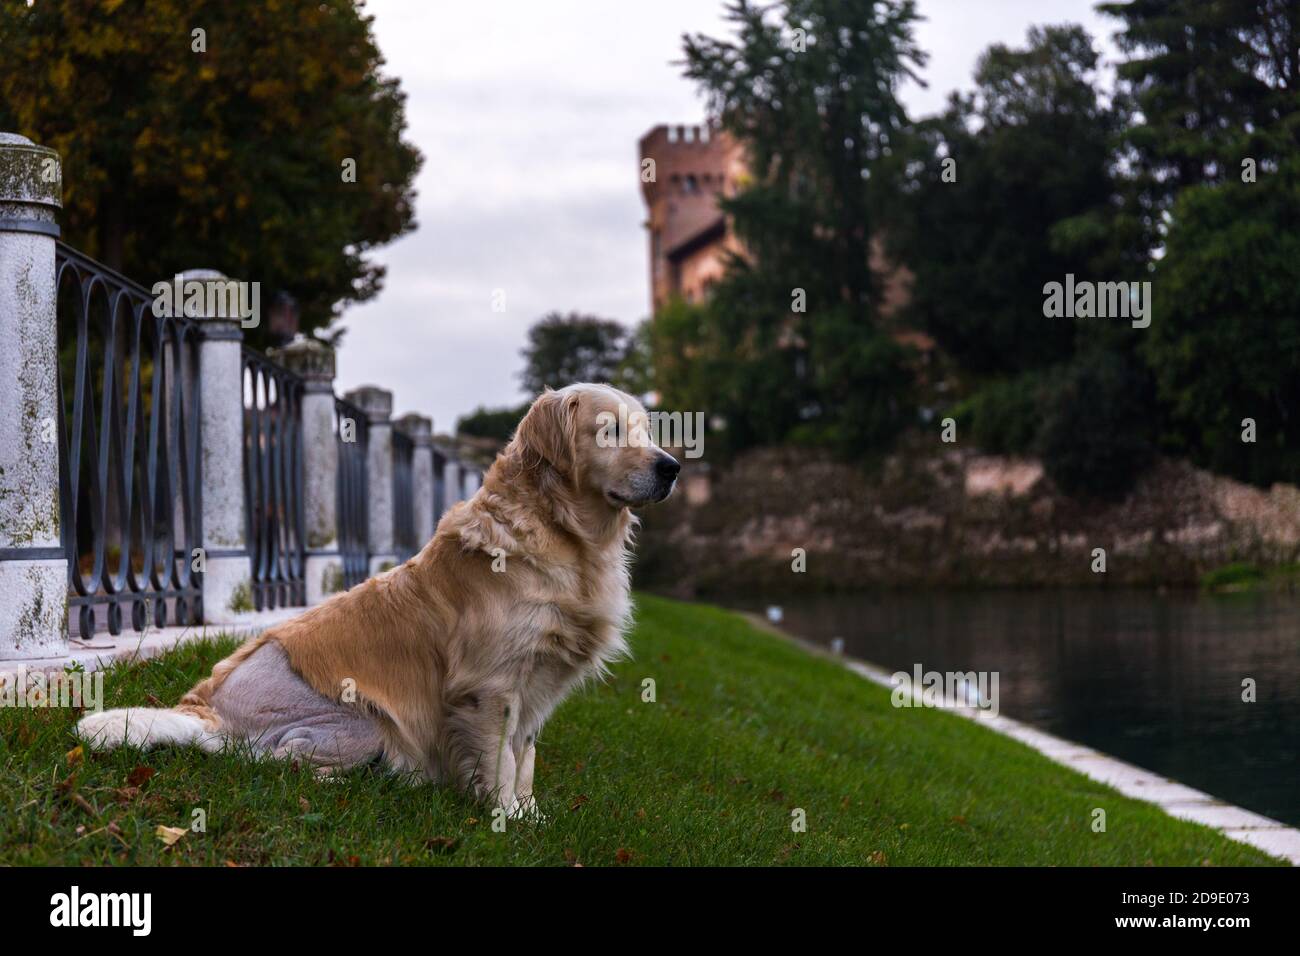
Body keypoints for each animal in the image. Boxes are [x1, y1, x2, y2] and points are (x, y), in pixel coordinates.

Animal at [77, 385, 681, 816]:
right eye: (608, 430)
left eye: (645, 430)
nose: (672, 466)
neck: (564, 536)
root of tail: (205, 711)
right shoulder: (490, 685)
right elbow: (500, 763)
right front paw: (503, 820)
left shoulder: (537, 686)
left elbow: (525, 757)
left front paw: (531, 817)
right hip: (359, 722)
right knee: (270, 761)